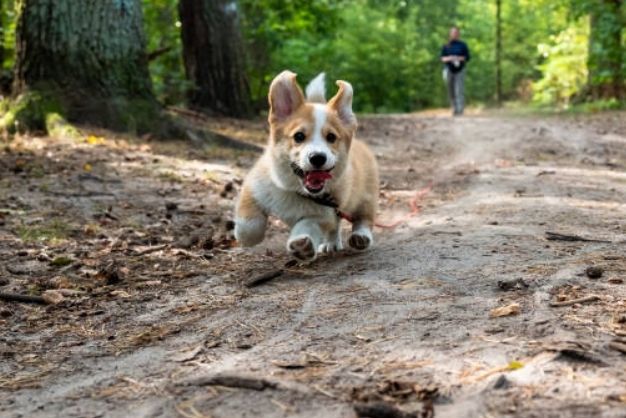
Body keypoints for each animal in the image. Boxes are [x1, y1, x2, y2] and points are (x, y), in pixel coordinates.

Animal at [234, 72, 378, 262]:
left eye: (331, 137)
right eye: (299, 136)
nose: (317, 157)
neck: (296, 190)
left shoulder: (320, 215)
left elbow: (306, 225)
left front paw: (302, 245)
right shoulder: (254, 187)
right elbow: (249, 224)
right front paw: (245, 238)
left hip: (365, 197)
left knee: (363, 219)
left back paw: (361, 237)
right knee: (336, 225)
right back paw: (331, 243)